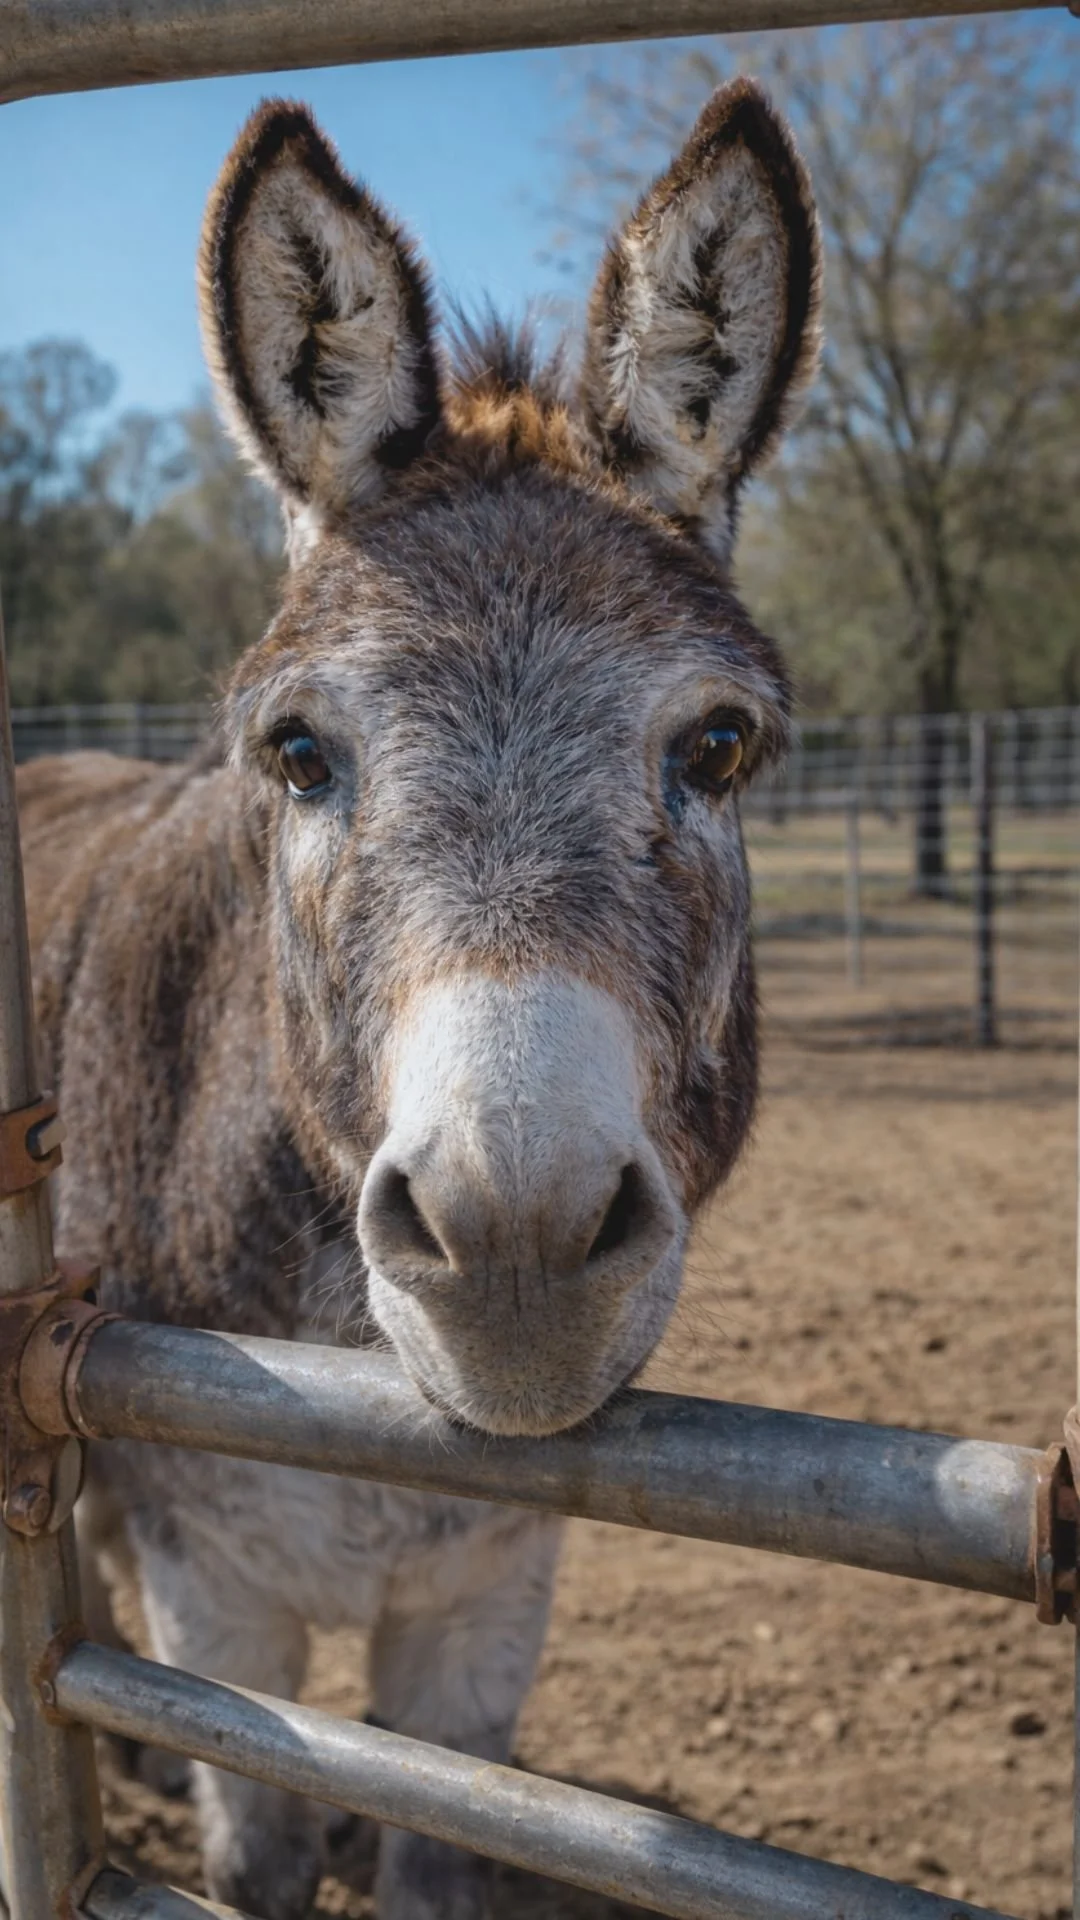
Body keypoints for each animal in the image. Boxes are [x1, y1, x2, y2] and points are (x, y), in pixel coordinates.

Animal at [17, 78, 820, 1920]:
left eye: (718, 746)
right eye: (298, 754)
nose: (511, 1246)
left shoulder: (482, 1615)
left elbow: (438, 1849)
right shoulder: (223, 1610)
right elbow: (250, 1858)